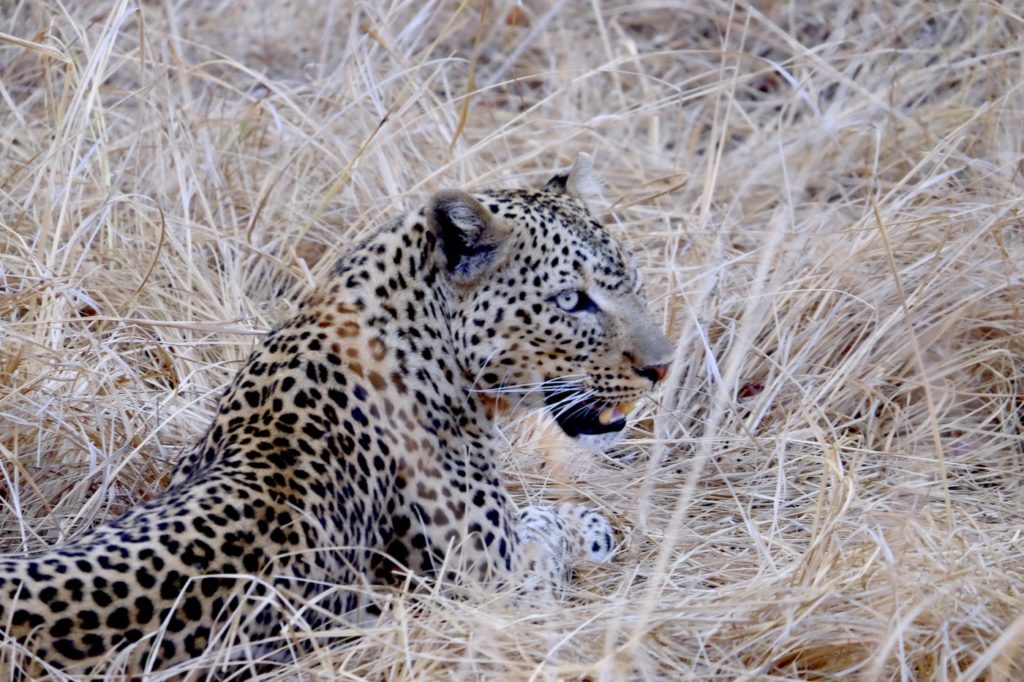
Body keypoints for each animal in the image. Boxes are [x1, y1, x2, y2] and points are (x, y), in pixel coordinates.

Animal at [0, 154, 674, 676]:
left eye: (635, 281)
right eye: (572, 301)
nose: (664, 367)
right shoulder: (492, 588)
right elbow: (545, 536)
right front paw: (588, 525)